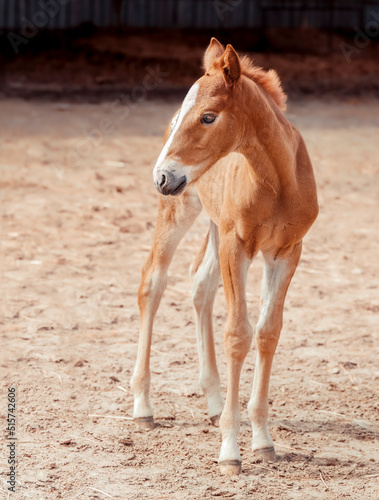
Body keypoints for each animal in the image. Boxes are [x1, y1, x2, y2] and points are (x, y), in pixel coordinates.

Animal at [131, 39, 318, 476]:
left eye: (208, 117)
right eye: (192, 115)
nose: (161, 176)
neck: (278, 181)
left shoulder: (286, 252)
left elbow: (267, 332)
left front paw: (263, 441)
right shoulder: (238, 246)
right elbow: (238, 333)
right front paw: (231, 451)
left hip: (215, 225)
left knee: (200, 284)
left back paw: (215, 403)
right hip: (181, 210)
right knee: (152, 281)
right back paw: (144, 407)